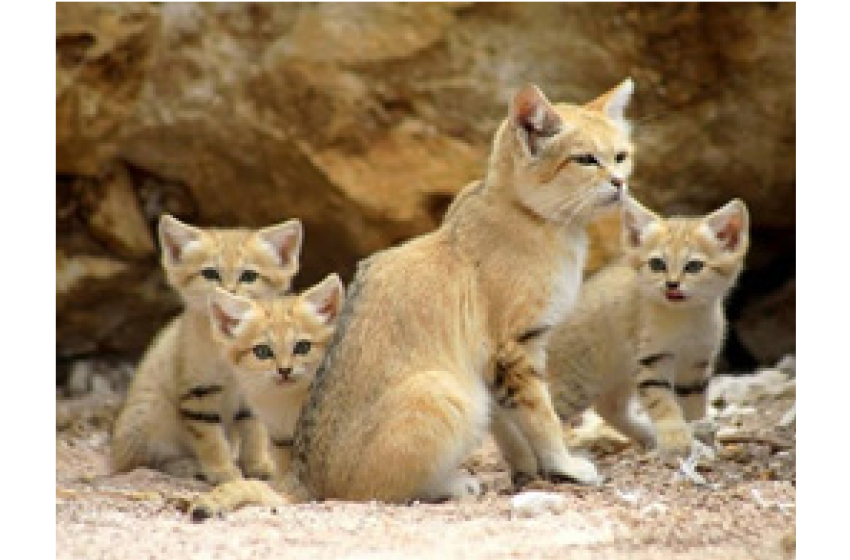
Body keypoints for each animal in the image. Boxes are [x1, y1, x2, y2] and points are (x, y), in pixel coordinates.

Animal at [109, 214, 302, 486]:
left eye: (249, 275)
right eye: (210, 273)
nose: (229, 293)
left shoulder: (252, 392)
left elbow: (254, 432)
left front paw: (257, 465)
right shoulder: (198, 392)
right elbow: (211, 440)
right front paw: (223, 471)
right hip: (150, 413)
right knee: (143, 463)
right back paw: (188, 467)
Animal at [544, 199, 748, 462]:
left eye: (694, 266)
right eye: (657, 264)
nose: (672, 284)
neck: (685, 318)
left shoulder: (695, 365)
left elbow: (693, 406)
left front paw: (699, 434)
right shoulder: (652, 361)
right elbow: (665, 405)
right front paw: (676, 441)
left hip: (618, 375)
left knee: (608, 408)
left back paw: (647, 435)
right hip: (576, 385)